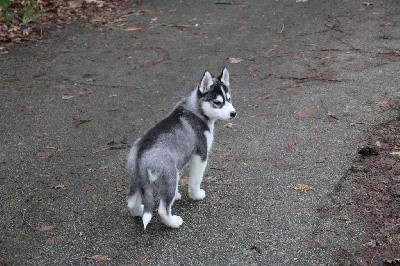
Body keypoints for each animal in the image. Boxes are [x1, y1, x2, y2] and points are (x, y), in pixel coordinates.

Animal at [126, 67, 236, 229]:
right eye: (217, 102)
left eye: (229, 99)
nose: (233, 113)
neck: (196, 110)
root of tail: (141, 156)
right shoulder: (200, 156)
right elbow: (195, 181)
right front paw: (196, 195)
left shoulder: (181, 161)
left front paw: (178, 195)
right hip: (169, 178)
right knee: (162, 209)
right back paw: (174, 222)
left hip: (137, 181)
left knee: (131, 202)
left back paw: (139, 211)